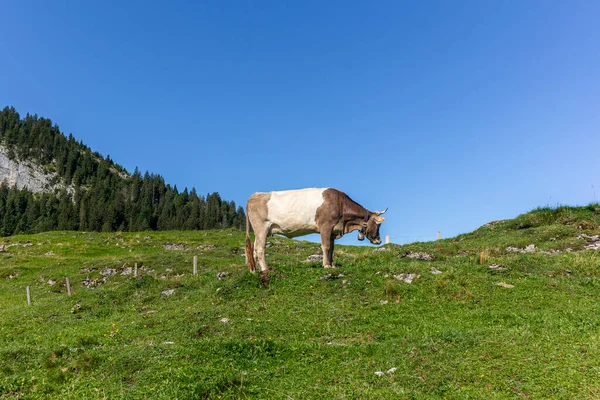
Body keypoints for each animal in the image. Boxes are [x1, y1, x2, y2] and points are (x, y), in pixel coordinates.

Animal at [245, 188, 390, 284]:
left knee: (254, 249)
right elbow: (326, 247)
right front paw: (326, 265)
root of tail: (254, 195)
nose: (379, 240)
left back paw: (254, 270)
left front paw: (332, 265)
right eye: (378, 225)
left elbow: (332, 249)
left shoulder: (333, 231)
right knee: (260, 249)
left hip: (259, 231)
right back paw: (265, 269)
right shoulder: (325, 226)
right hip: (261, 228)